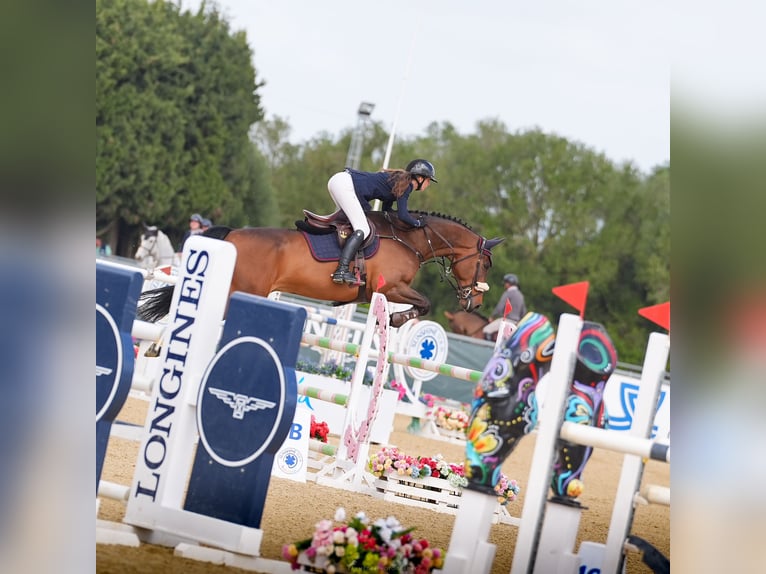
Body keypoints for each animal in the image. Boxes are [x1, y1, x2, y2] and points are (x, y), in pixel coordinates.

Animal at [140, 212, 504, 328]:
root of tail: (231, 235)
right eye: (486, 263)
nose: (475, 304)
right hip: (241, 290)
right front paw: (398, 319)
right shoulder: (389, 287)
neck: (409, 238)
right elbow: (424, 303)